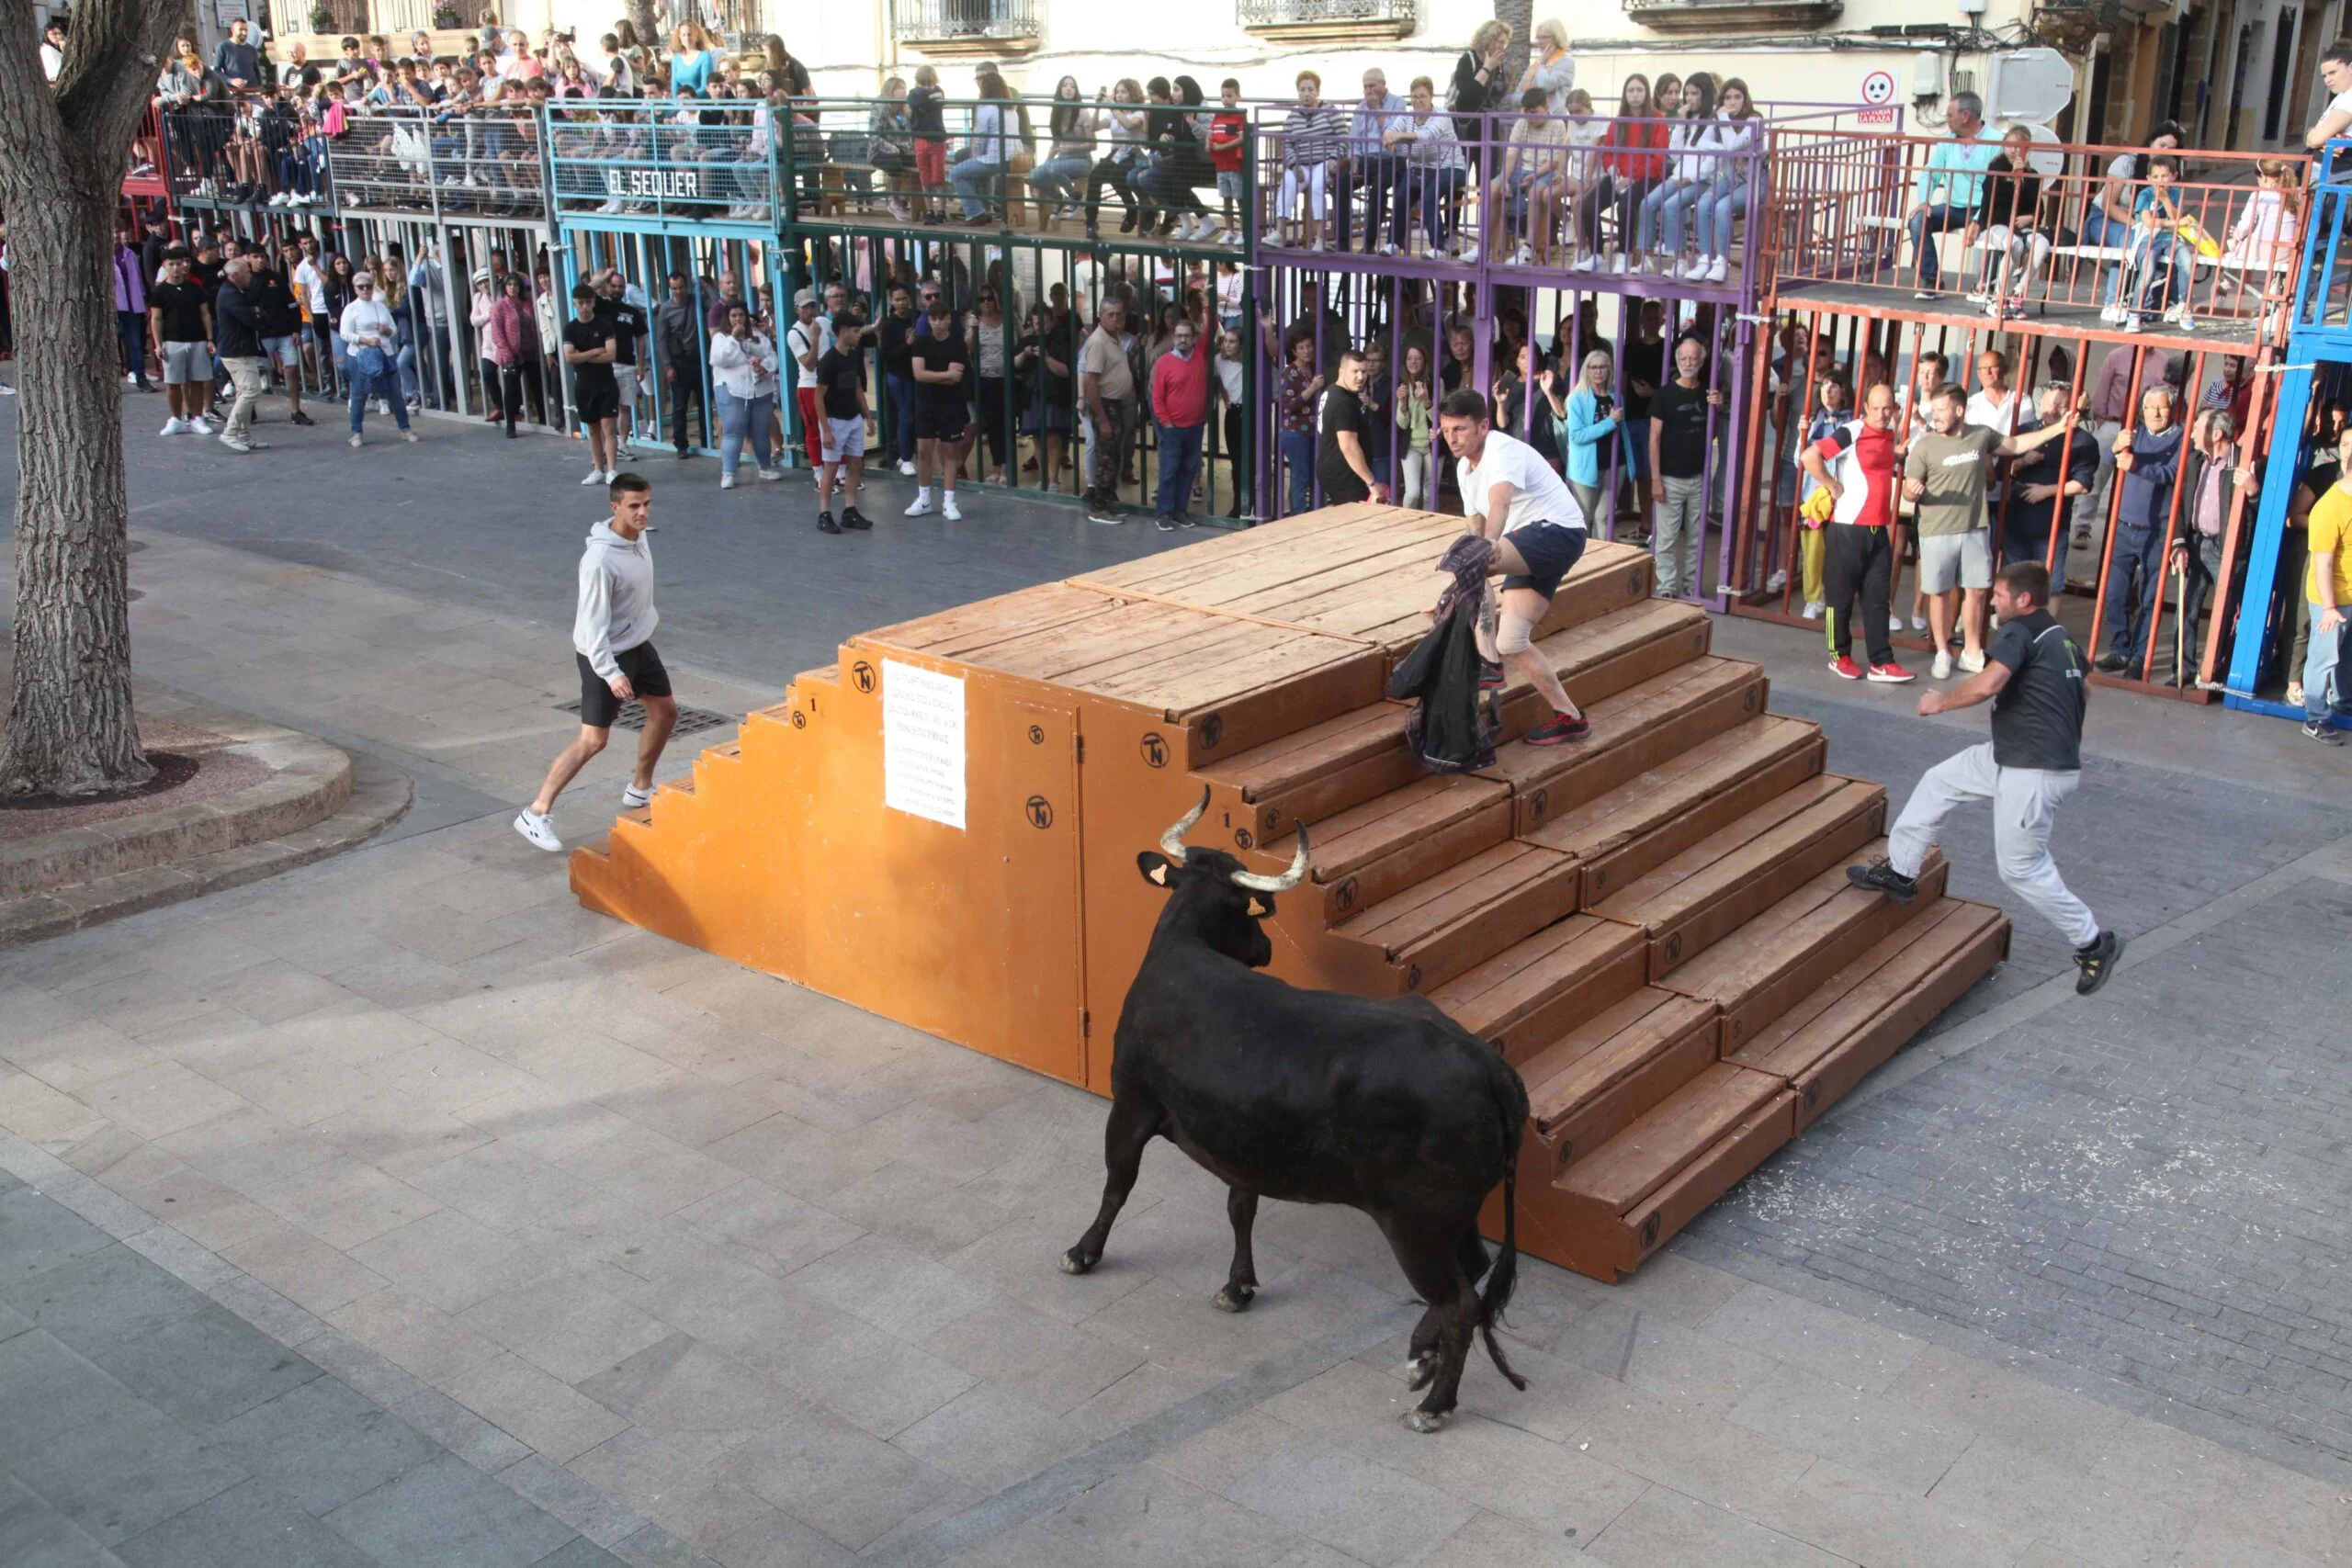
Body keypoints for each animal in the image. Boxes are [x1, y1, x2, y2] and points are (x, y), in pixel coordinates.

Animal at [1058, 789, 1533, 1429]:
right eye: (1252, 916)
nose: (1263, 949)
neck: (1184, 950)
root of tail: (1487, 1065)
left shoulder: (1130, 1105)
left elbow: (1117, 1184)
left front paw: (1083, 1251)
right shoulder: (1242, 1140)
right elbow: (1240, 1209)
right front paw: (1238, 1287)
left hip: (1418, 1221)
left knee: (1459, 1302)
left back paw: (1433, 1401)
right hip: (1454, 1214)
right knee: (1475, 1269)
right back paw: (1422, 1354)